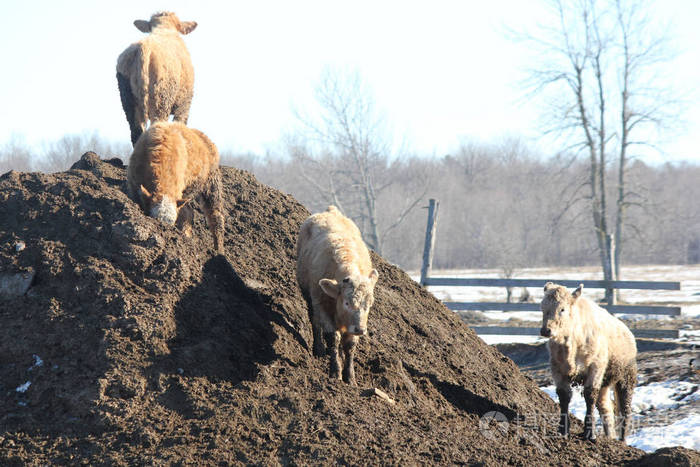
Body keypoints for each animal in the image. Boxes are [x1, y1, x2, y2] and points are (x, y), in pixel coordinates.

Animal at [116, 11, 196, 145]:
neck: (164, 28)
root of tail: (144, 47)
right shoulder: (185, 104)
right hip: (161, 99)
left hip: (128, 100)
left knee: (136, 132)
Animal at [298, 207, 380, 386]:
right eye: (347, 303)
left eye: (369, 305)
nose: (360, 329)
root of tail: (330, 211)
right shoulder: (321, 305)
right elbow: (332, 338)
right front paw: (335, 371)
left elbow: (349, 345)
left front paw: (350, 376)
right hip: (309, 296)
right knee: (314, 321)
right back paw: (319, 348)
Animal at [540, 282, 640, 442]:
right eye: (542, 307)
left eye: (562, 309)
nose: (545, 330)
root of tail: (628, 334)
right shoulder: (557, 369)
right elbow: (564, 396)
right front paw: (563, 430)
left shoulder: (596, 368)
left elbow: (590, 395)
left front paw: (589, 432)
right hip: (605, 384)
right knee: (606, 407)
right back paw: (610, 436)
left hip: (626, 376)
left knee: (624, 408)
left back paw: (622, 439)